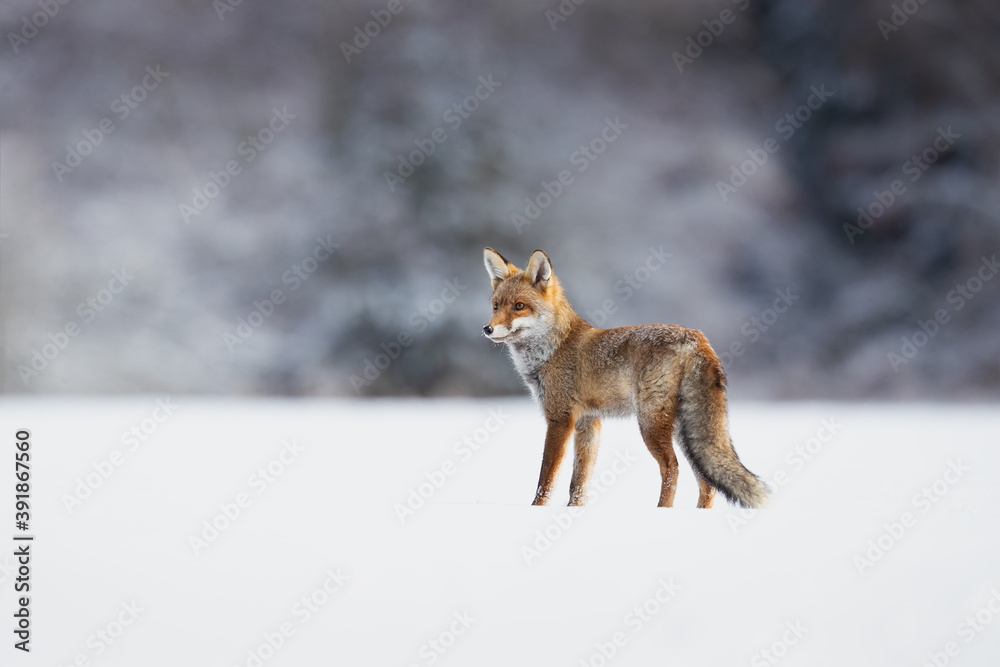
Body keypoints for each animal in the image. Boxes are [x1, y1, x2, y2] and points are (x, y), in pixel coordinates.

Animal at [481, 247, 769, 509]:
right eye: (496, 306)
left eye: (519, 306)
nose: (487, 329)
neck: (552, 349)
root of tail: (697, 337)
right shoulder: (588, 422)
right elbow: (579, 482)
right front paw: (573, 512)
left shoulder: (560, 419)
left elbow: (546, 478)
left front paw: (536, 510)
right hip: (682, 431)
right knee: (707, 483)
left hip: (651, 423)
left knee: (672, 468)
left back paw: (661, 512)